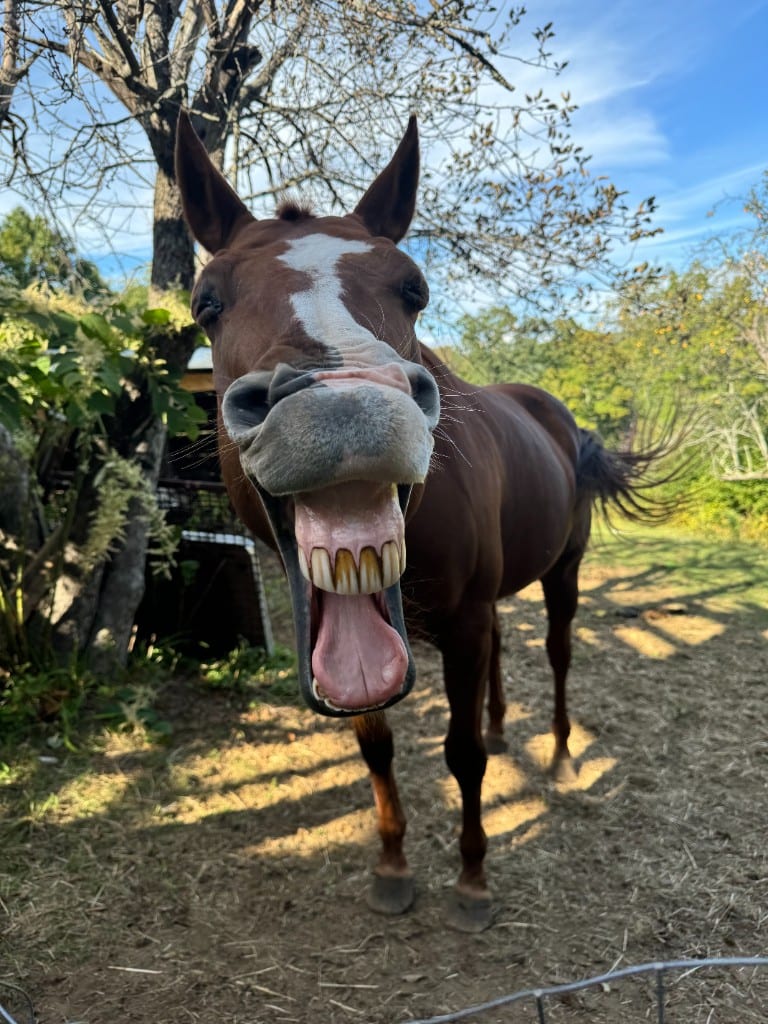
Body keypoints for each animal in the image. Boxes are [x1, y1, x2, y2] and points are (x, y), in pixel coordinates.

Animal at [174, 112, 664, 932]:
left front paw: (472, 880)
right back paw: (504, 723)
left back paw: (562, 755)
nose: (343, 404)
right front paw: (393, 867)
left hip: (564, 574)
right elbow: (377, 748)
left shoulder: (464, 624)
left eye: (415, 289)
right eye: (206, 301)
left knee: (559, 654)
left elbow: (462, 755)